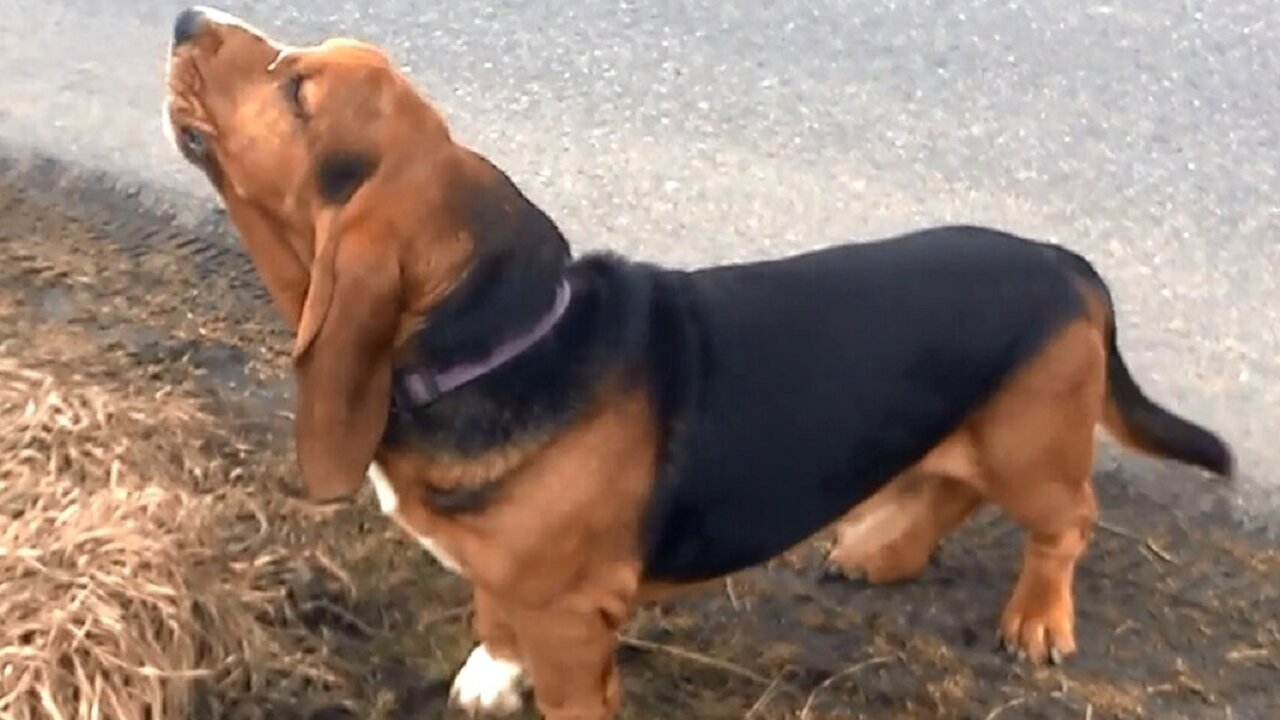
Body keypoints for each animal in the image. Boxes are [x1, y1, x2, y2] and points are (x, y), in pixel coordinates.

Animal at [165, 8, 1233, 712]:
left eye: (297, 92)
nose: (185, 16)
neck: (506, 341)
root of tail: (1063, 261)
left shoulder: (573, 621)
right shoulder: (518, 585)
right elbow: (494, 616)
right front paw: (488, 673)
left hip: (1031, 440)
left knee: (1066, 521)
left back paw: (1040, 618)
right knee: (948, 482)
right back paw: (880, 549)